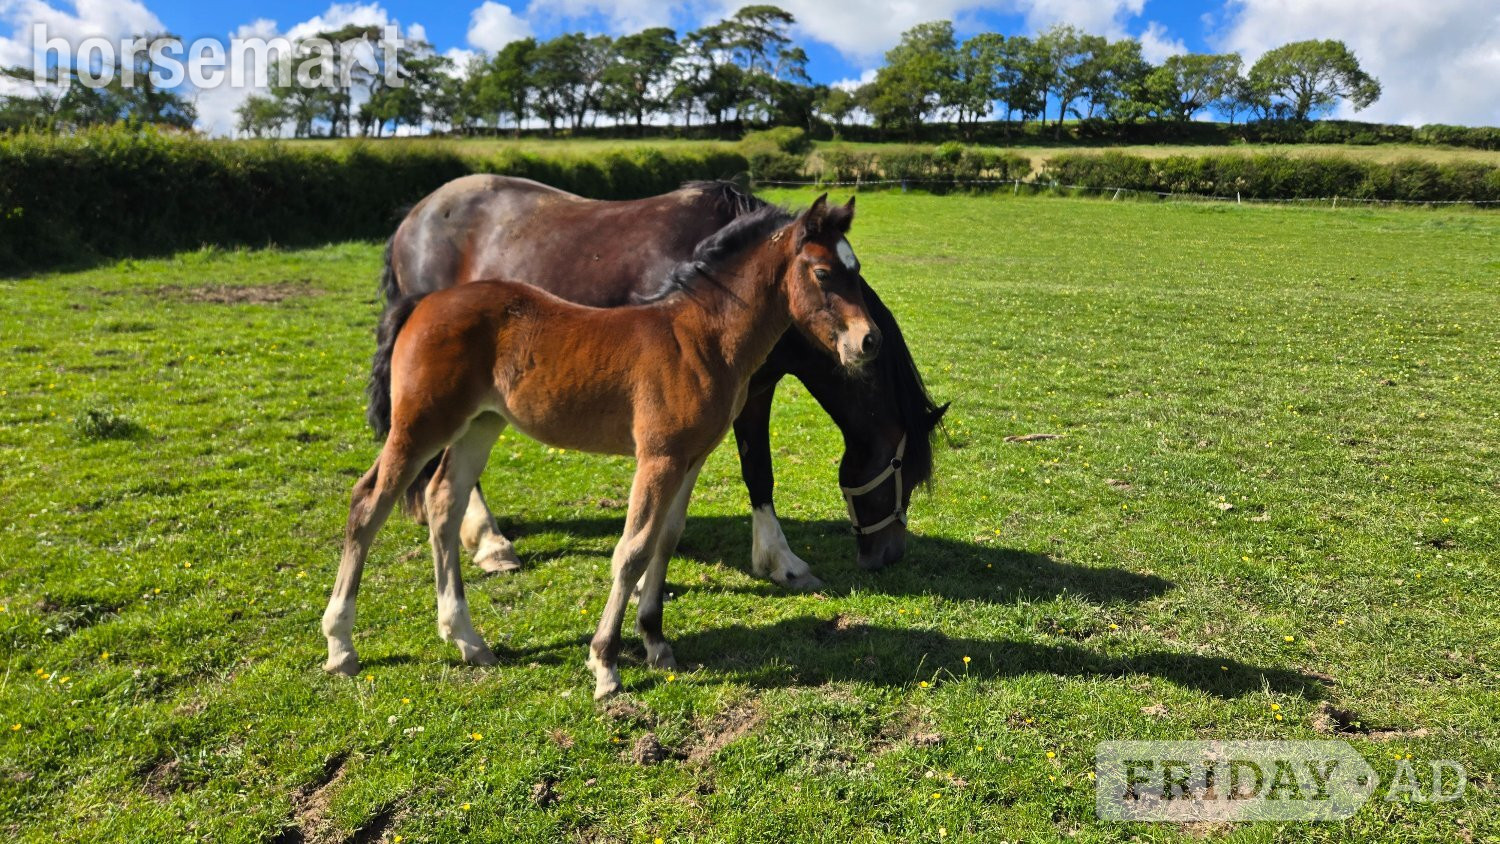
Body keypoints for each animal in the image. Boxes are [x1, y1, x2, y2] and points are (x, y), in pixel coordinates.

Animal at [323, 196, 880, 699]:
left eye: (856, 270)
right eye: (824, 273)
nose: (868, 341)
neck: (698, 338)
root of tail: (423, 303)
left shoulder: (690, 459)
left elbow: (666, 540)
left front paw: (656, 643)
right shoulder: (658, 457)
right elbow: (632, 551)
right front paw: (605, 665)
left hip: (479, 425)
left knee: (443, 500)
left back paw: (467, 638)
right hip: (421, 425)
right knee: (368, 503)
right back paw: (341, 646)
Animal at [382, 177, 946, 586]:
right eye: (903, 470)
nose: (889, 555)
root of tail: (416, 215)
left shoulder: (755, 390)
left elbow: (756, 474)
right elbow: (755, 471)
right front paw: (780, 561)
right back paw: (491, 542)